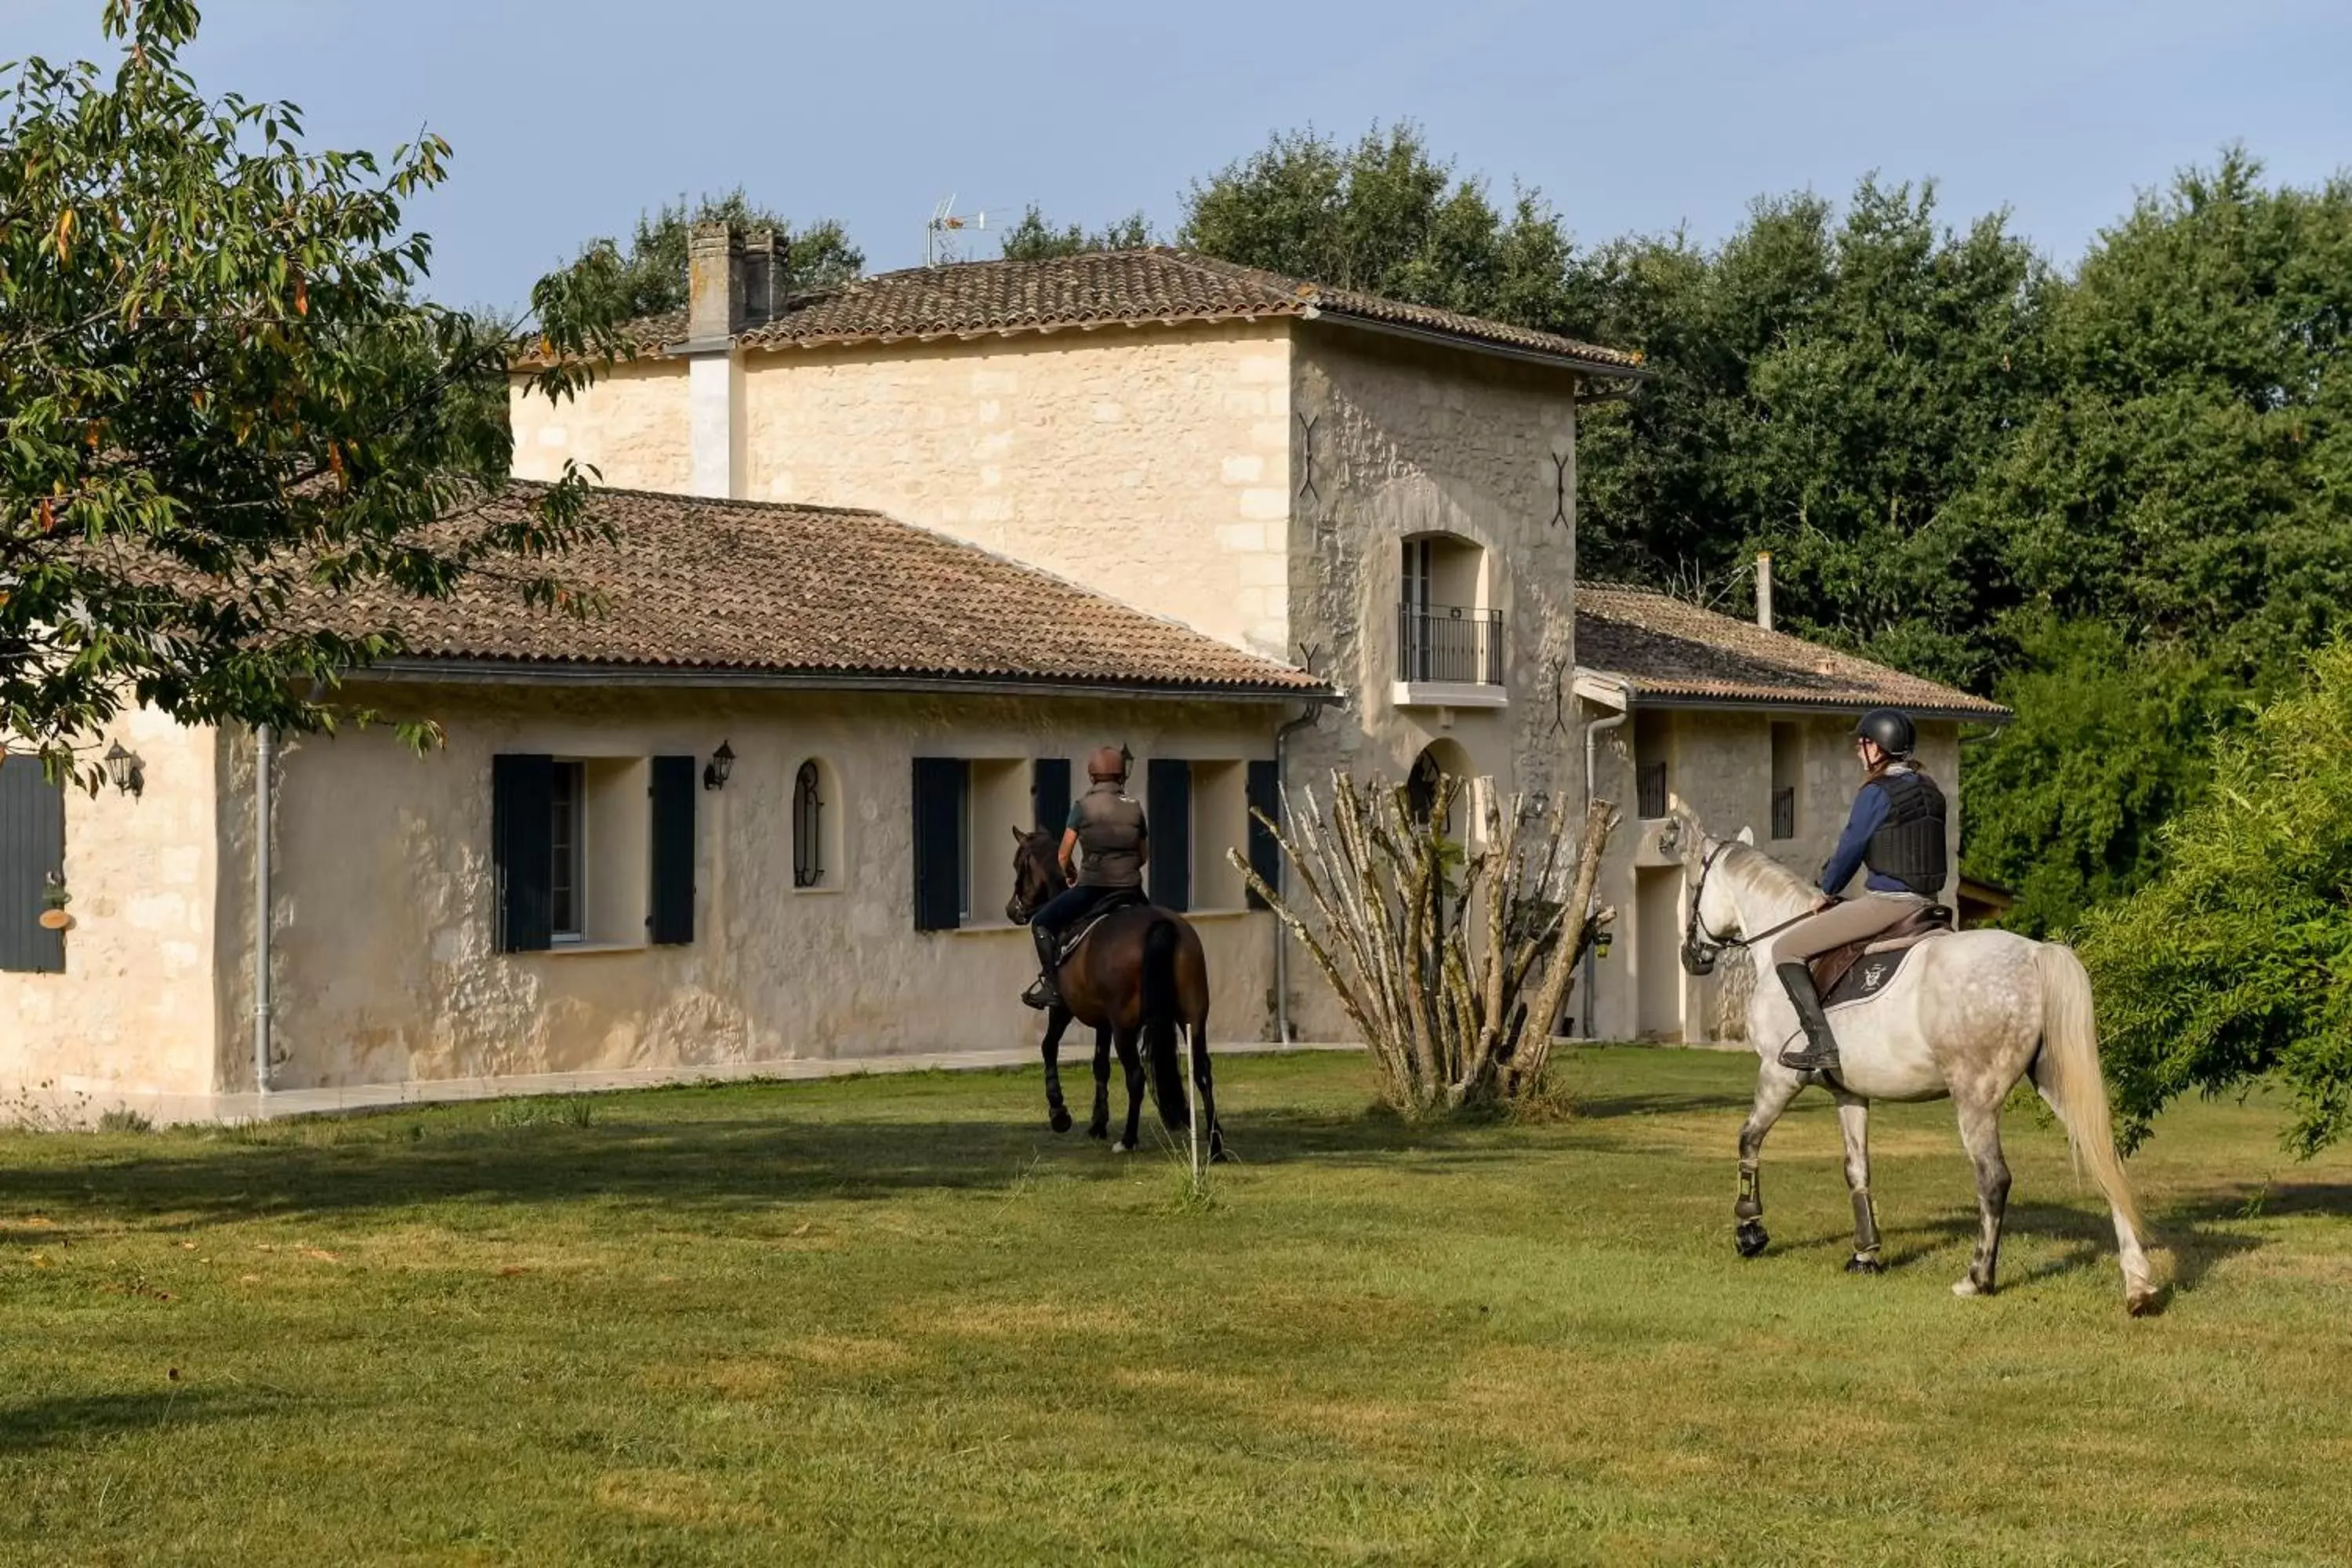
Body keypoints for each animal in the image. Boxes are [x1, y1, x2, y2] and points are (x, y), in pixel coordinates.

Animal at [1007, 827, 1232, 1161]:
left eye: (1017, 864)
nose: (1012, 909)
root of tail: (1160, 925)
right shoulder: (1104, 1021)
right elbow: (1100, 1065)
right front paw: (1098, 1123)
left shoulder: (1064, 1010)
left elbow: (1049, 1047)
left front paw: (1060, 1113)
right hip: (1192, 1016)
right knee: (1202, 1070)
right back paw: (1215, 1146)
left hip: (1125, 1026)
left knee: (1136, 1076)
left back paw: (1128, 1139)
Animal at [1675, 818, 2154, 1316]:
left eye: (1693, 889)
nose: (1692, 955)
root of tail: (2034, 954)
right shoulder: (1849, 1093)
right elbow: (1857, 1169)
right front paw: (1865, 1254)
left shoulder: (1778, 1074)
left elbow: (1748, 1140)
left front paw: (1750, 1230)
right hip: (2055, 1084)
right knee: (2106, 1159)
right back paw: (2137, 1284)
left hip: (1974, 1099)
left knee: (1994, 1179)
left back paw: (1977, 1278)